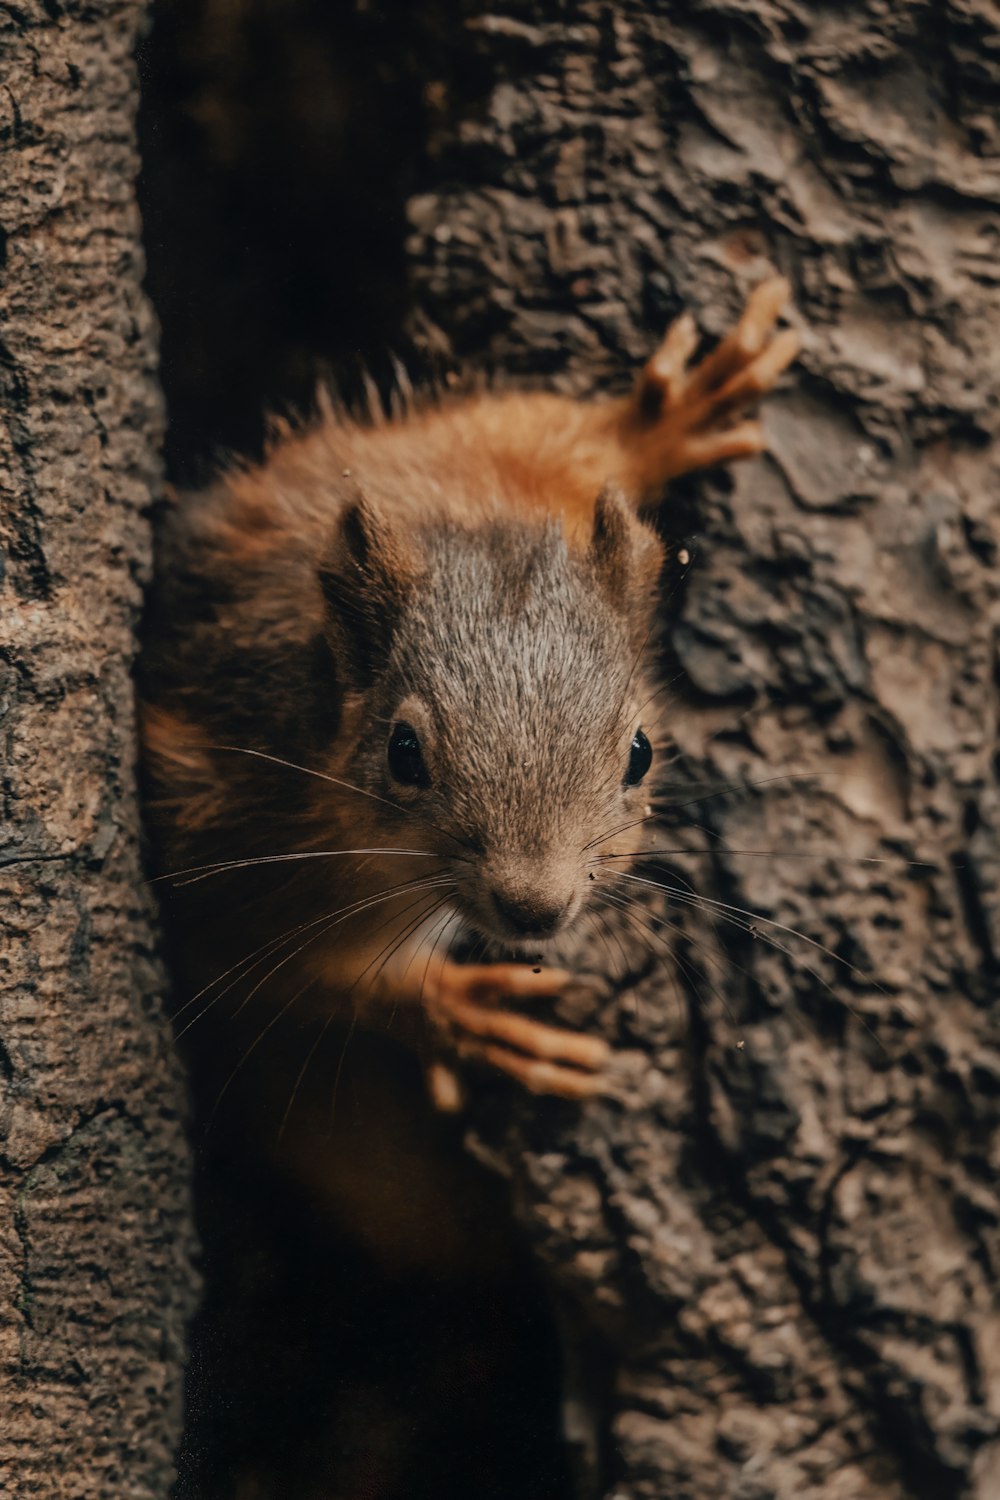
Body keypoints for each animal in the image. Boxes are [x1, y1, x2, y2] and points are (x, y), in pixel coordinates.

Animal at [138, 279, 797, 1266]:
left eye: (641, 751)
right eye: (403, 753)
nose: (535, 907)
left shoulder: (486, 453)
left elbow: (574, 437)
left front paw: (673, 414)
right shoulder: (226, 827)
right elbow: (267, 964)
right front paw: (454, 1011)